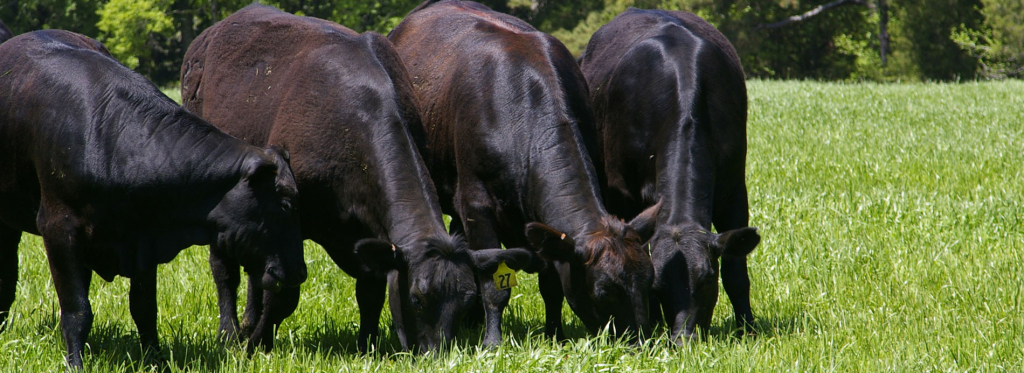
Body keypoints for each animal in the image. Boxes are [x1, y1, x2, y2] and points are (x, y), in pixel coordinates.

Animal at [0, 29, 307, 366]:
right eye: (286, 204)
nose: (300, 272)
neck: (113, 138)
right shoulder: (58, 228)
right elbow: (77, 310)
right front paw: (76, 363)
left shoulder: (143, 240)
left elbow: (144, 308)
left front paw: (155, 359)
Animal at [182, 3, 536, 352]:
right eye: (417, 299)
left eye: (465, 303)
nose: (438, 355)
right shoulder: (289, 225)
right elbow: (284, 292)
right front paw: (260, 344)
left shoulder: (368, 231)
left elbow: (370, 292)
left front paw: (367, 345)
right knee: (224, 269)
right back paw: (229, 333)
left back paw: (246, 323)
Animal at [387, 0, 659, 344]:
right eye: (603, 292)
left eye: (649, 282)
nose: (640, 344)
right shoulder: (476, 207)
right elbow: (493, 284)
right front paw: (492, 342)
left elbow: (552, 285)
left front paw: (555, 334)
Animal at [577, 8, 761, 344]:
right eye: (658, 286)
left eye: (706, 280)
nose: (683, 340)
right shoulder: (623, 195)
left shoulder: (734, 189)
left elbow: (736, 272)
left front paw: (747, 329)